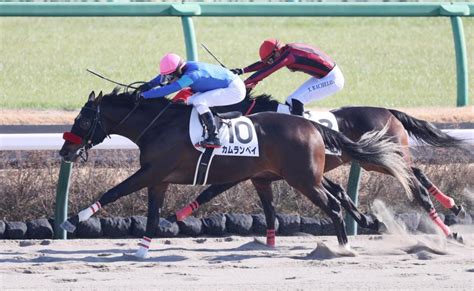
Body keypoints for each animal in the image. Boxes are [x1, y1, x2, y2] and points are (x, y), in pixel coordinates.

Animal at [56, 88, 412, 258]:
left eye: (83, 120)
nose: (65, 152)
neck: (159, 125)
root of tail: (312, 125)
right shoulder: (158, 179)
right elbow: (153, 215)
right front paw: (142, 250)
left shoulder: (151, 172)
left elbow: (113, 192)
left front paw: (71, 220)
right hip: (302, 176)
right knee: (336, 197)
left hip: (303, 179)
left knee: (335, 205)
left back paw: (343, 248)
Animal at [175, 93, 466, 244]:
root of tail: (388, 110)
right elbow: (340, 191)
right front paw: (368, 220)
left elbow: (211, 189)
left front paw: (181, 213)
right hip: (380, 159)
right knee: (417, 173)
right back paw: (453, 206)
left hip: (378, 160)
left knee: (416, 184)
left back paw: (449, 228)